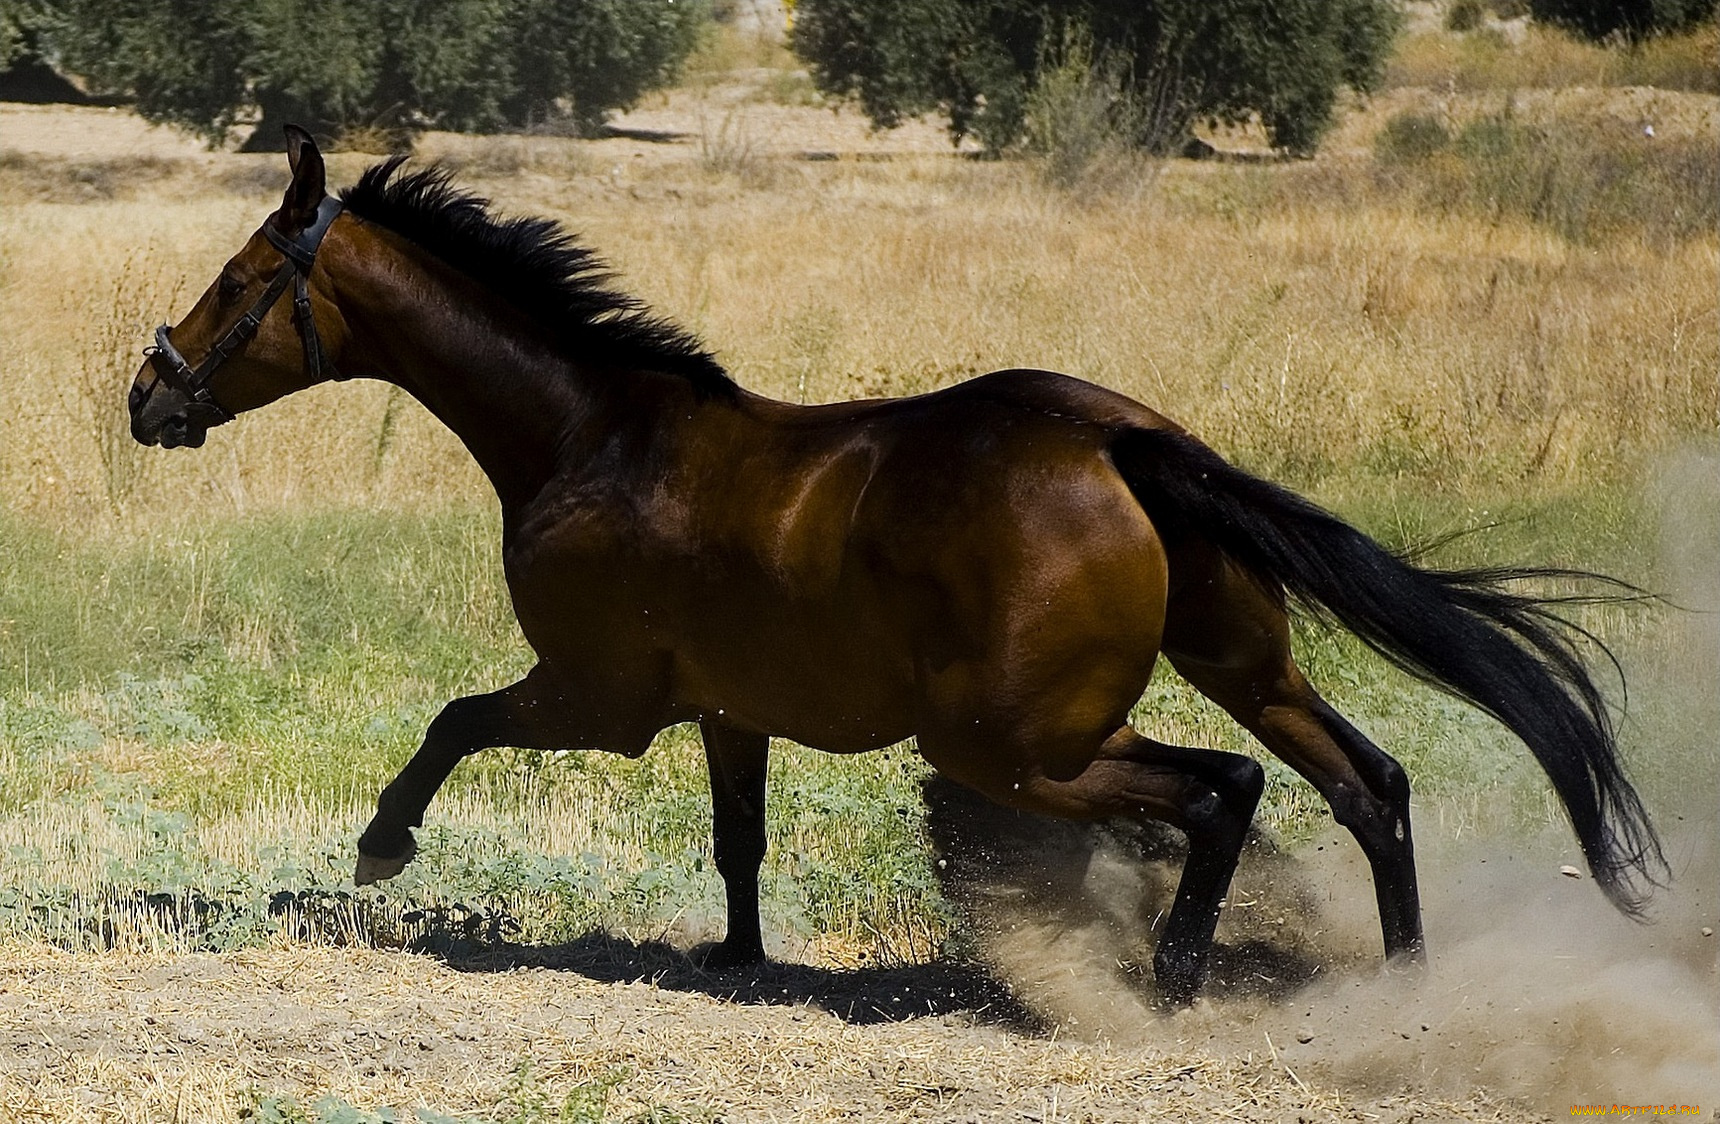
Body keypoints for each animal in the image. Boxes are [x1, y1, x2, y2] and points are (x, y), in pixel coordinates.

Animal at [127, 129, 1658, 998]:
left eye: (240, 279)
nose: (148, 399)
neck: (588, 433)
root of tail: (1121, 442)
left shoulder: (596, 698)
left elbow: (449, 722)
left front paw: (381, 846)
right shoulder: (725, 709)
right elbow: (739, 839)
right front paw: (738, 960)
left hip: (1012, 741)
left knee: (1224, 790)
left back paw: (1173, 976)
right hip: (1240, 662)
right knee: (1368, 781)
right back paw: (1400, 985)